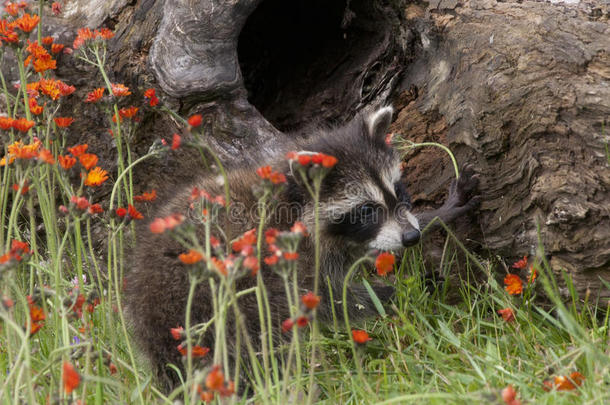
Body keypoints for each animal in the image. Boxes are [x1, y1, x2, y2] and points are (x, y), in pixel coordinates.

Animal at [124, 106, 480, 388]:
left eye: (397, 191)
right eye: (367, 210)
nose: (411, 238)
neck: (294, 199)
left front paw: (438, 214)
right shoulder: (293, 258)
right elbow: (334, 301)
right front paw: (399, 295)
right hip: (212, 301)